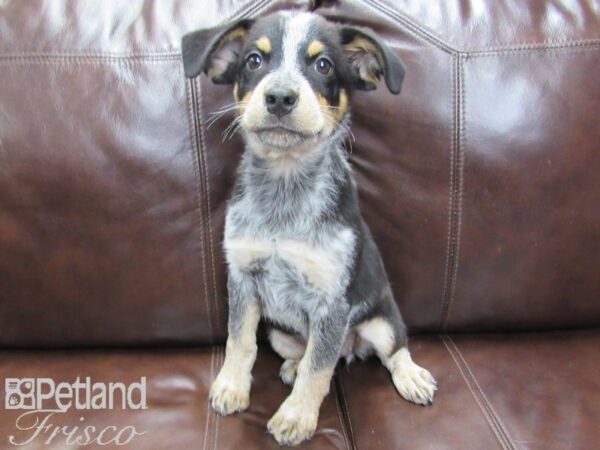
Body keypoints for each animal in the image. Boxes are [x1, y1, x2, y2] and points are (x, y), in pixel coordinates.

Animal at [182, 10, 436, 446]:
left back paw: (411, 376)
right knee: (304, 352)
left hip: (382, 321)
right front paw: (232, 386)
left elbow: (320, 369)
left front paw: (296, 416)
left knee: (391, 350)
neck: (285, 193)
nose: (280, 97)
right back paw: (292, 367)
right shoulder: (243, 278)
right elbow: (239, 341)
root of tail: (352, 347)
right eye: (253, 60)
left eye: (324, 65)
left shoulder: (331, 302)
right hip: (280, 333)